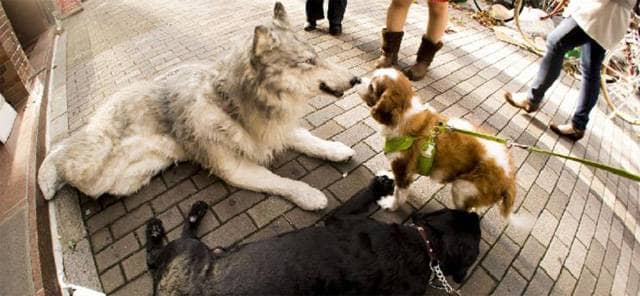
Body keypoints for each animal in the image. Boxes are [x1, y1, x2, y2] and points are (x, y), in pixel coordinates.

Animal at [40, 2, 360, 210]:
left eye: (317, 55)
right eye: (308, 62)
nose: (357, 79)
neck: (233, 104)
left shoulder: (274, 128)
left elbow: (309, 140)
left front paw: (335, 150)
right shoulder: (234, 169)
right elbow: (279, 181)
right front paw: (309, 195)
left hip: (129, 180)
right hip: (95, 171)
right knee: (62, 152)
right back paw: (47, 178)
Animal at [146, 177, 480, 294]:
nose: (477, 214)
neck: (428, 248)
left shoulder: (340, 220)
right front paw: (381, 186)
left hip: (189, 252)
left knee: (157, 255)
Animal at [358, 69, 516, 217]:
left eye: (372, 86)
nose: (356, 79)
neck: (405, 112)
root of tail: (510, 178)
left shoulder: (403, 169)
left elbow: (399, 194)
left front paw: (391, 205)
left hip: (462, 189)